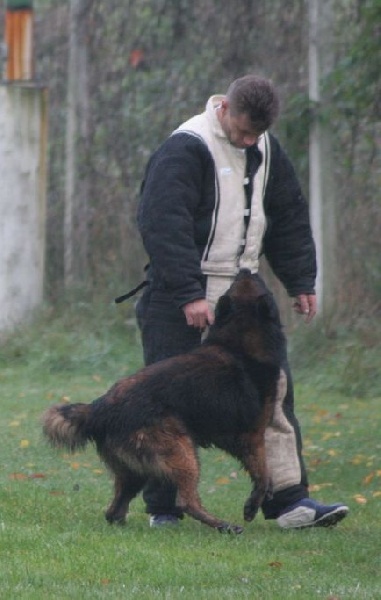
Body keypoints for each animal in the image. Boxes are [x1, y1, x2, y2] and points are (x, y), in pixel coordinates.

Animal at [42, 270, 284, 532]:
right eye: (260, 284)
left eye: (239, 283)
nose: (246, 270)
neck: (240, 337)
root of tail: (99, 408)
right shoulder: (253, 436)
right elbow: (263, 473)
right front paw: (253, 505)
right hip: (184, 453)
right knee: (186, 501)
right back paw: (223, 526)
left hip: (136, 470)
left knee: (113, 510)